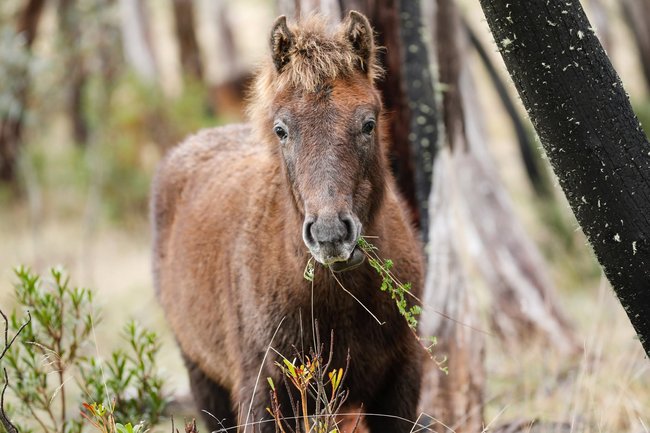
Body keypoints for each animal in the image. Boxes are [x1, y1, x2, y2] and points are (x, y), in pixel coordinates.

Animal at [151, 11, 424, 433]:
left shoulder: (400, 385)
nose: (330, 234)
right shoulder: (263, 394)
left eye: (368, 123)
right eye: (282, 130)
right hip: (203, 378)